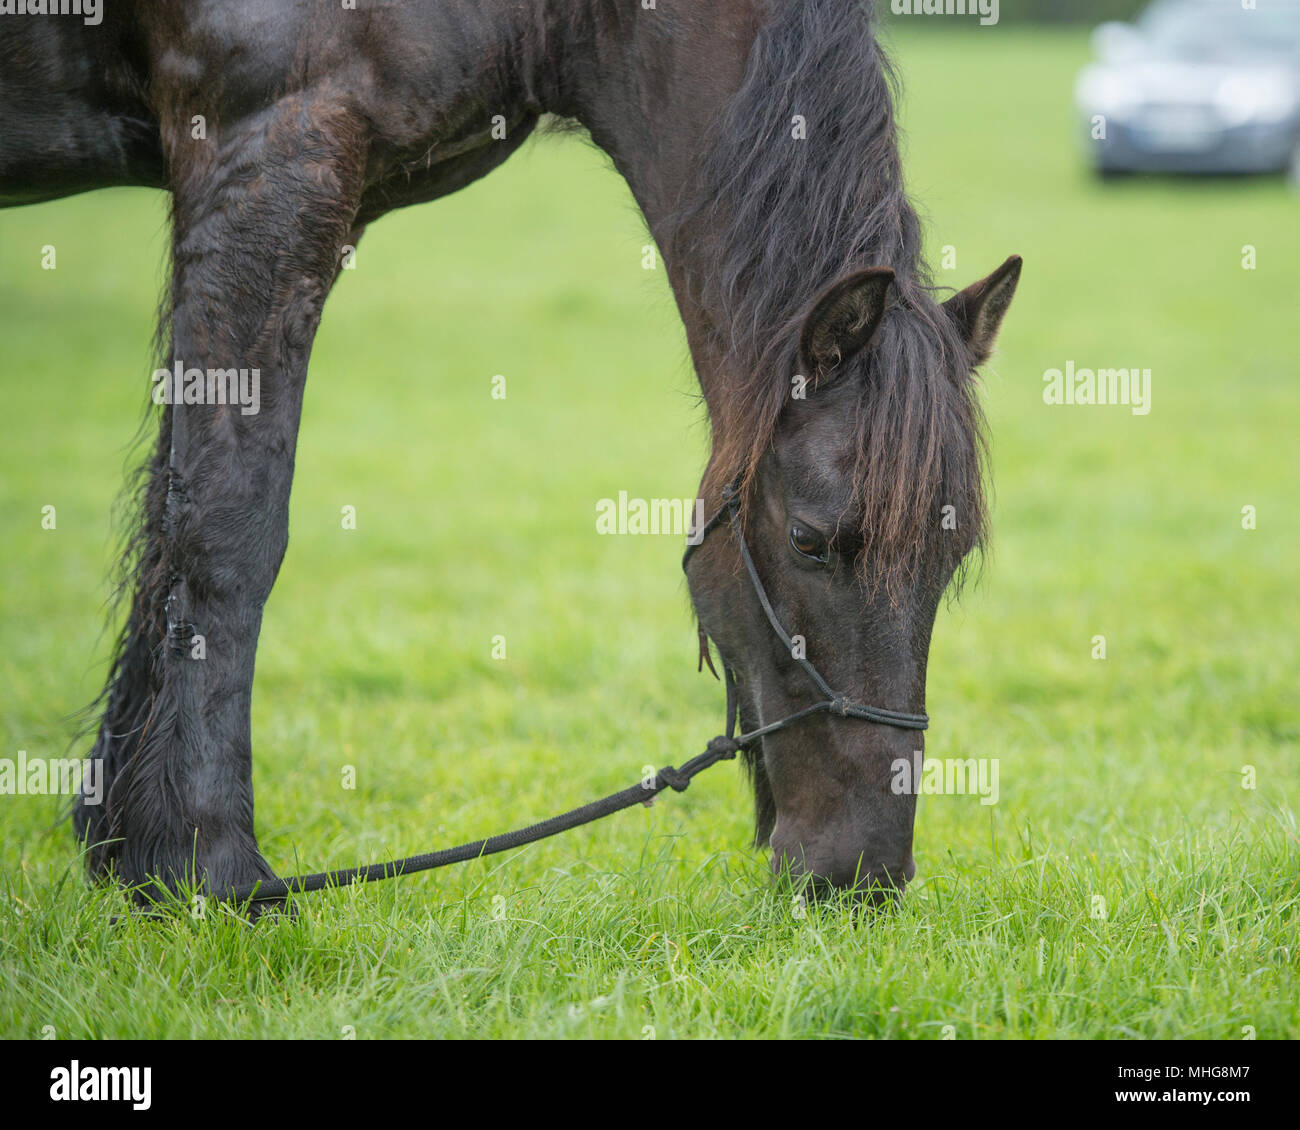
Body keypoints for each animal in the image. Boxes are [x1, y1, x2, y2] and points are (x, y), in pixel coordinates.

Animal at [0, 0, 1013, 910]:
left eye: (952, 557)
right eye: (810, 541)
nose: (866, 874)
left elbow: (167, 518)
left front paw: (129, 853)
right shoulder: (270, 158)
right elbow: (224, 526)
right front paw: (207, 868)